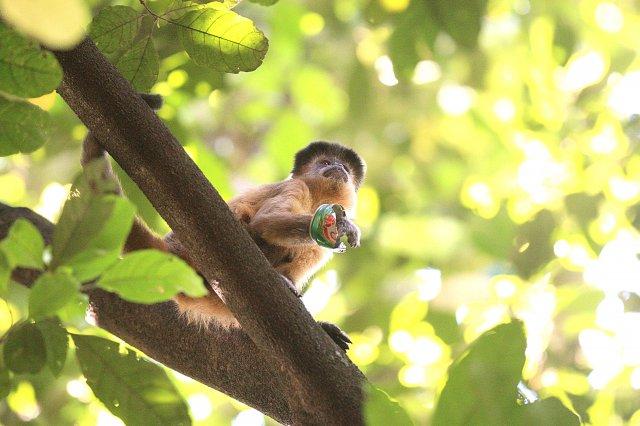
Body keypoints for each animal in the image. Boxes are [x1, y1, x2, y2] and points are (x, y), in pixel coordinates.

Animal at [82, 93, 364, 350]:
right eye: (325, 162)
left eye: (345, 168)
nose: (338, 167)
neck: (318, 197)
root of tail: (174, 248)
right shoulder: (297, 187)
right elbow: (265, 223)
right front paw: (339, 225)